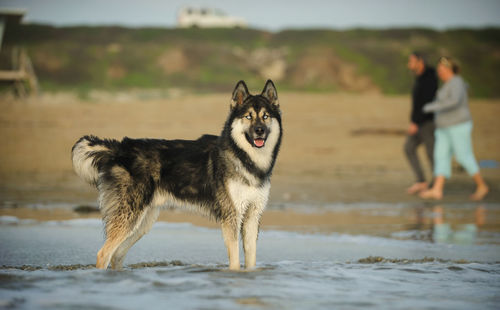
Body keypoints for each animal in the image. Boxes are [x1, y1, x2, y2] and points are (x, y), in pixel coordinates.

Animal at [70, 80, 282, 272]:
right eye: (248, 116)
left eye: (265, 116)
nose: (260, 131)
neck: (244, 157)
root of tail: (119, 148)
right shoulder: (231, 216)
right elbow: (236, 262)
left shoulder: (253, 216)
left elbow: (251, 262)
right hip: (129, 217)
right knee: (103, 254)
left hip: (142, 223)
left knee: (117, 255)